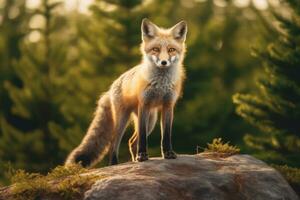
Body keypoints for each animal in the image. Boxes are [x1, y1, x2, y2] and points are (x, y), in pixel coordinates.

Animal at [65, 18, 188, 166]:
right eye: (155, 49)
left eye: (171, 50)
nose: (164, 62)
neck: (160, 84)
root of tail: (111, 88)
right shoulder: (144, 104)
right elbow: (143, 138)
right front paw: (142, 155)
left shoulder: (168, 105)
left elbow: (166, 136)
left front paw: (168, 154)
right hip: (123, 119)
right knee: (114, 142)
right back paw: (114, 163)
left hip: (151, 120)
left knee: (131, 141)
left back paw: (134, 160)